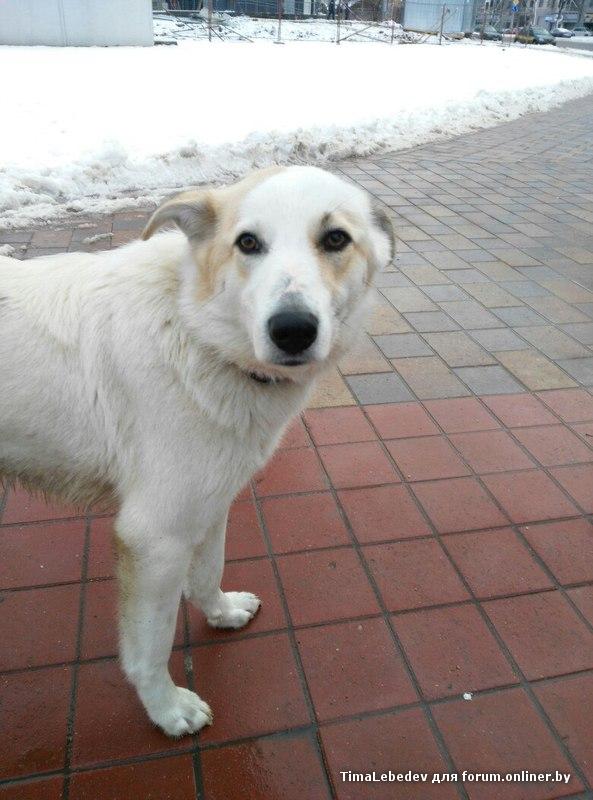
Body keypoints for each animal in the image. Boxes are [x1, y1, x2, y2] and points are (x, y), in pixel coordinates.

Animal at [0, 165, 394, 736]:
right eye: (248, 243)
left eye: (335, 239)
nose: (292, 330)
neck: (193, 329)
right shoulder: (153, 536)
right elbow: (150, 646)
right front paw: (167, 710)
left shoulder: (209, 501)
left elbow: (208, 571)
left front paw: (222, 613)